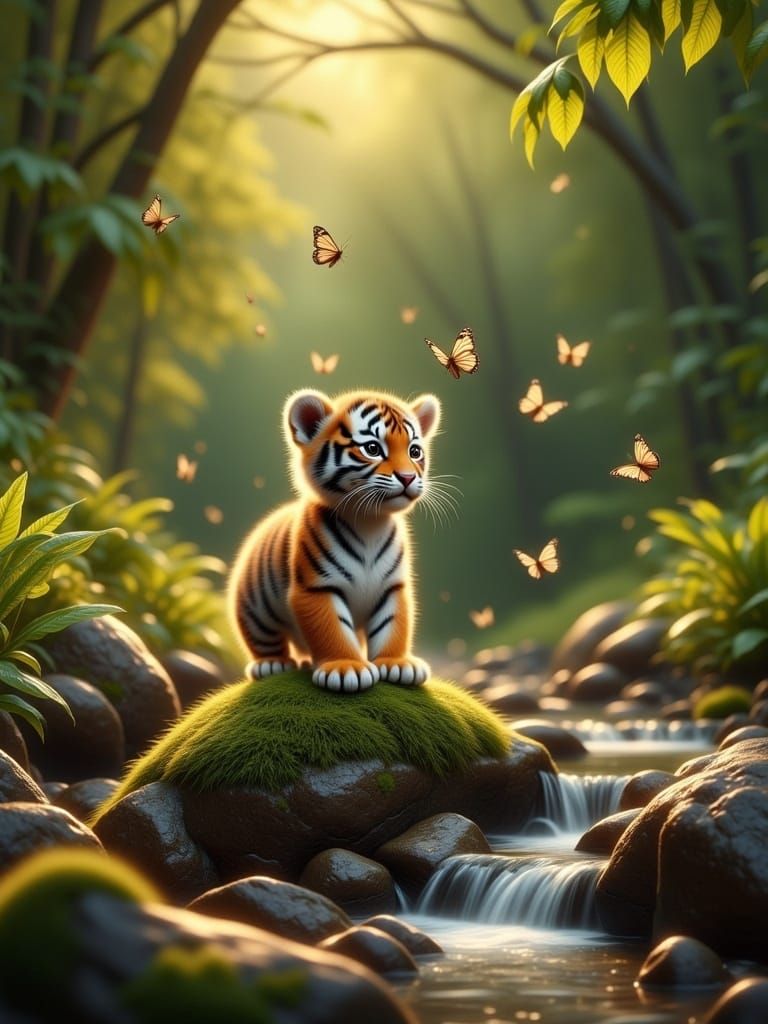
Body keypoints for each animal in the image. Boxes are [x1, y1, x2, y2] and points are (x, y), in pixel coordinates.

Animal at [228, 388, 441, 693]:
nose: (408, 477)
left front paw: (397, 664)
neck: (369, 523)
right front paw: (346, 669)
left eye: (415, 451)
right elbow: (333, 630)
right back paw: (271, 664)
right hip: (254, 610)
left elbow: (393, 626)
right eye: (372, 449)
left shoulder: (392, 587)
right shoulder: (316, 588)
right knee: (263, 641)